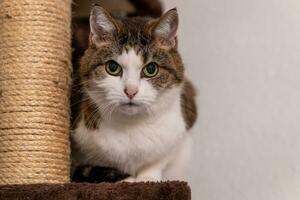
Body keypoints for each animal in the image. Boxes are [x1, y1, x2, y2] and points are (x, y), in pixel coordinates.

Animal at [71, 4, 197, 182]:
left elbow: (158, 160)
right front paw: (126, 179)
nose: (131, 91)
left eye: (151, 69)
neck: (131, 125)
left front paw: (148, 179)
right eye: (112, 67)